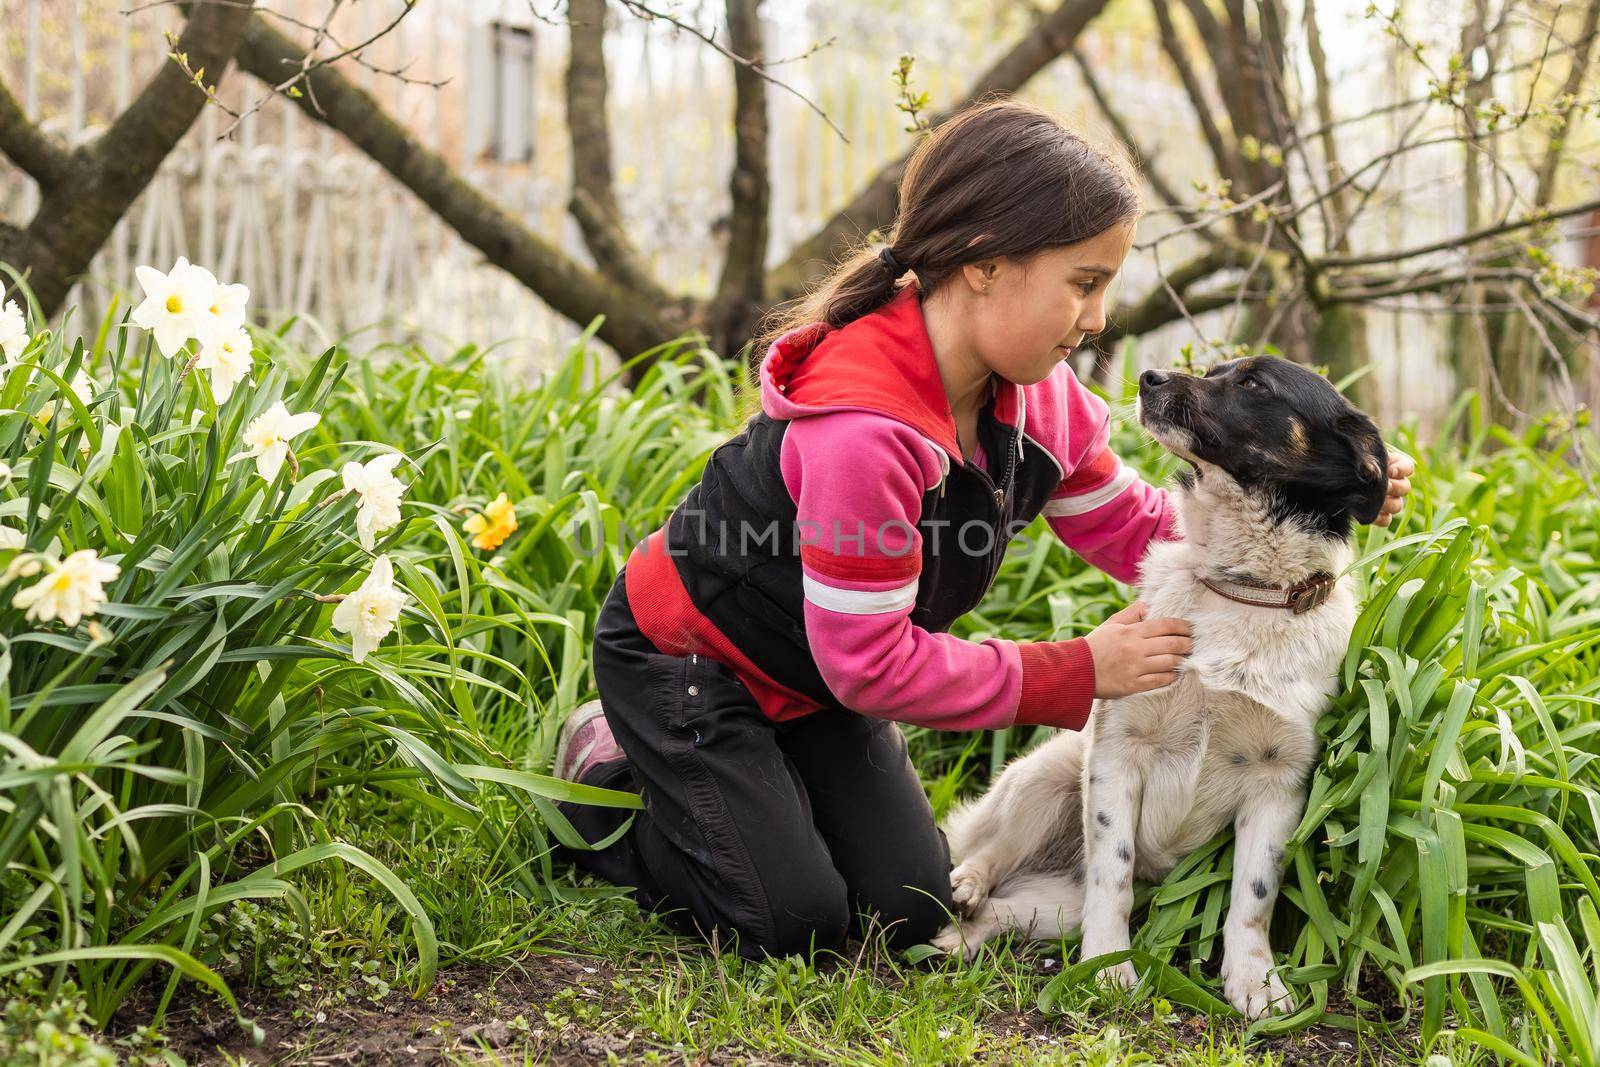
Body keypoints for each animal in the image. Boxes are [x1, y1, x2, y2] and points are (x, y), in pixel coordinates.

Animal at [934, 356, 1395, 1017]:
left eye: (1253, 383)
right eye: (1216, 369)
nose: (1149, 377)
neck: (1242, 588)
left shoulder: (1280, 782)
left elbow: (1253, 897)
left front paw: (1255, 982)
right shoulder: (1116, 754)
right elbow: (1115, 876)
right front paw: (1108, 968)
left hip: (1052, 907)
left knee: (1001, 913)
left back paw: (959, 936)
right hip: (1045, 775)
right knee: (989, 847)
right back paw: (965, 884)